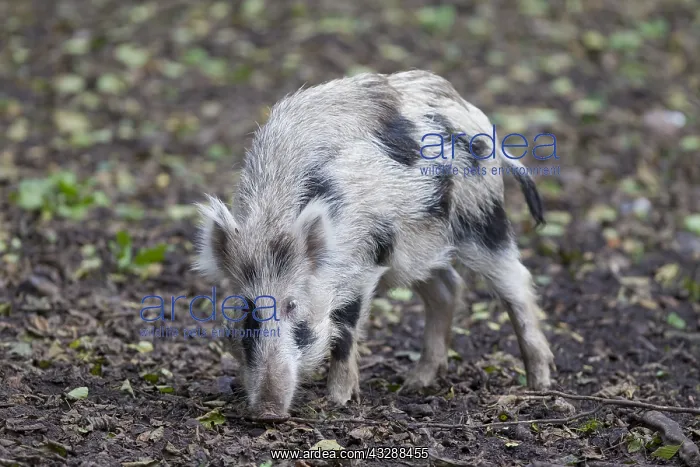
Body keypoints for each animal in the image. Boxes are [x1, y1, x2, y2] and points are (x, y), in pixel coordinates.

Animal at [193, 70, 556, 420]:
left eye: (292, 306)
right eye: (245, 311)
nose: (267, 412)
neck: (273, 221)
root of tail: (471, 111)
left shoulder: (363, 265)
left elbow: (345, 331)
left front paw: (337, 402)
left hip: (482, 219)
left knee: (517, 284)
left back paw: (539, 384)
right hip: (414, 248)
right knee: (448, 288)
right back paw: (413, 385)